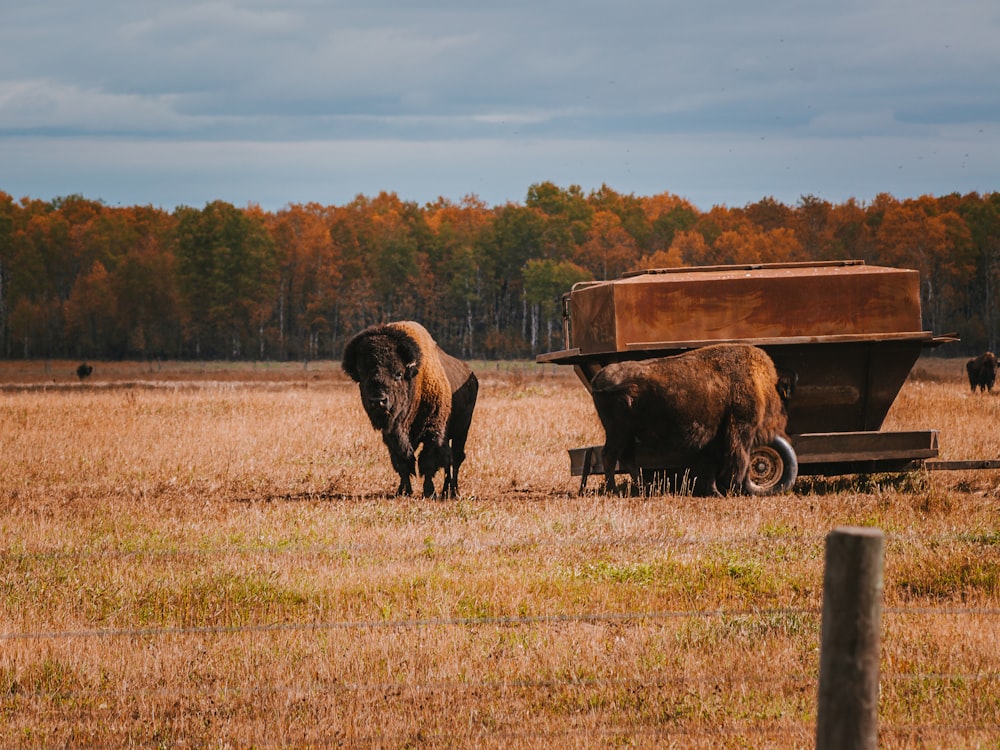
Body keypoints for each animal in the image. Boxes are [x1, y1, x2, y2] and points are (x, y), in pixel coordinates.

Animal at [342, 322, 478, 500]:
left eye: (398, 374)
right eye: (363, 375)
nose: (378, 401)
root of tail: (471, 374)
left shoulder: (433, 432)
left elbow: (428, 462)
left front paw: (429, 492)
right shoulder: (393, 436)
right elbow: (403, 461)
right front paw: (403, 491)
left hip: (462, 431)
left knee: (455, 458)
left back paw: (453, 492)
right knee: (448, 461)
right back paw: (446, 491)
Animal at [588, 346, 792, 500]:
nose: (782, 422)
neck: (759, 381)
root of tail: (598, 378)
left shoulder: (714, 441)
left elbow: (711, 466)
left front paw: (715, 492)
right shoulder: (740, 432)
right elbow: (739, 460)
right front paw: (732, 488)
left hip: (626, 434)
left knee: (627, 459)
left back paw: (643, 489)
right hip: (618, 433)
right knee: (610, 456)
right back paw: (615, 491)